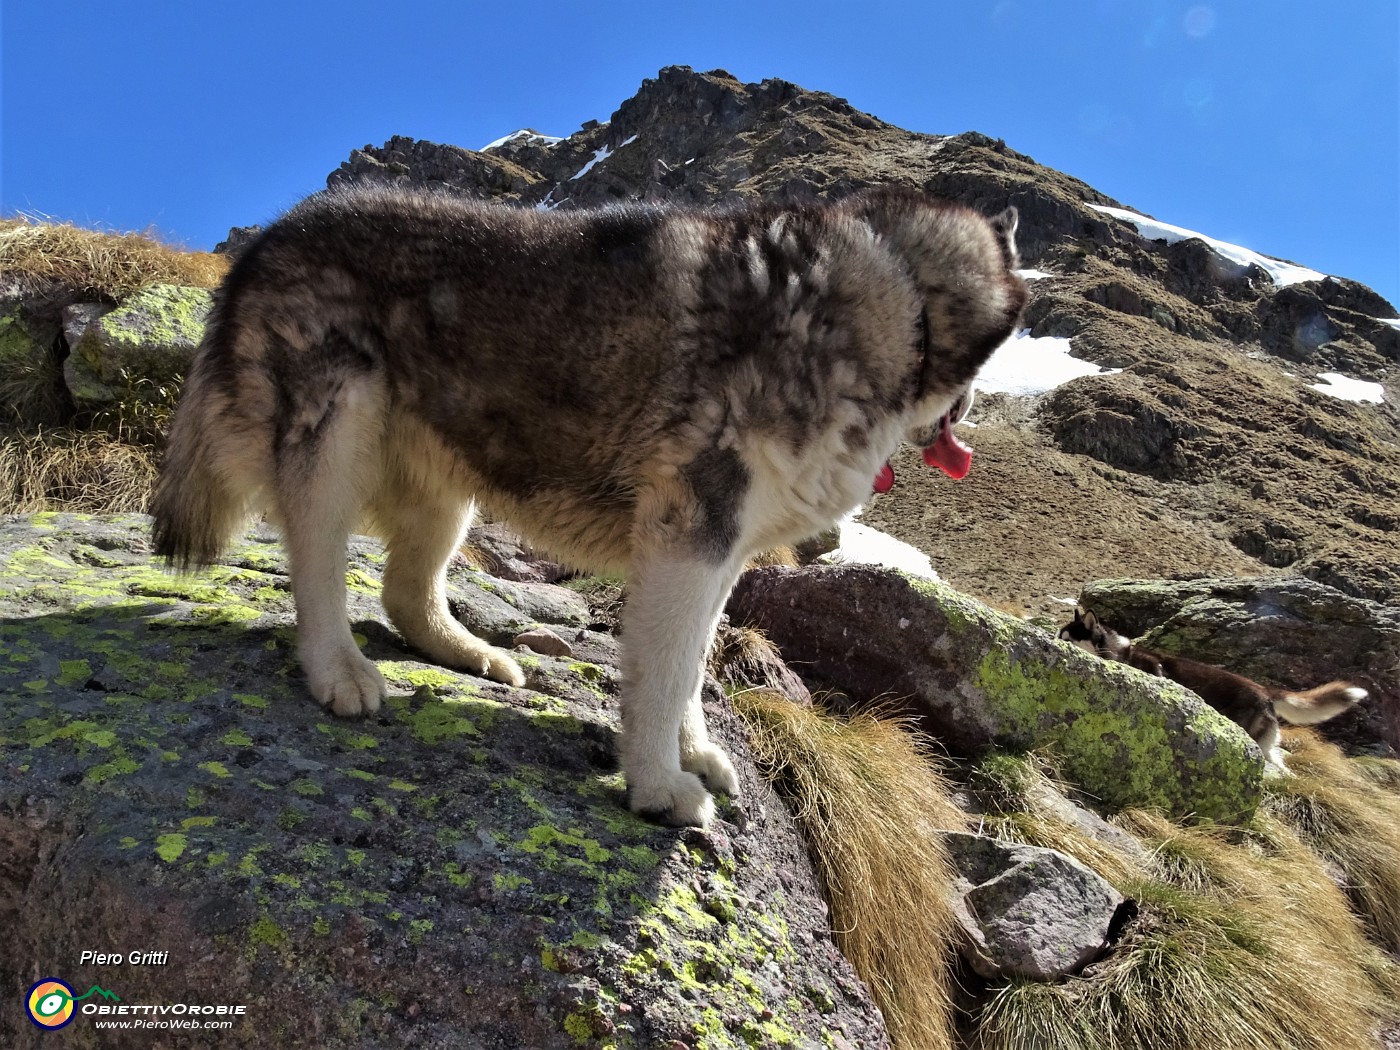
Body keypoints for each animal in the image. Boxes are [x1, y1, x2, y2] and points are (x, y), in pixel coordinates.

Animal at [153, 189, 1030, 828]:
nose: (972, 411)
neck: (904, 299)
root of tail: (273, 233)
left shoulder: (721, 552)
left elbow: (691, 668)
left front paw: (689, 749)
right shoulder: (691, 536)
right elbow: (665, 675)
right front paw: (657, 784)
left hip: (452, 482)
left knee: (406, 591)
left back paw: (471, 653)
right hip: (335, 431)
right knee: (318, 562)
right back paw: (337, 668)